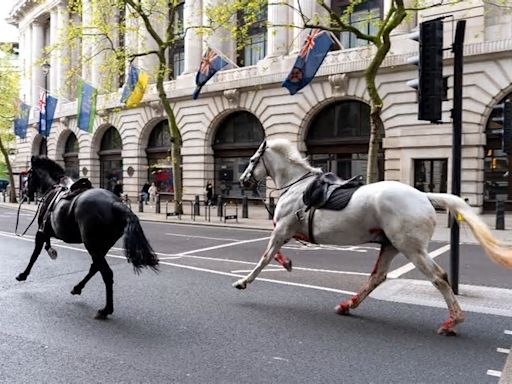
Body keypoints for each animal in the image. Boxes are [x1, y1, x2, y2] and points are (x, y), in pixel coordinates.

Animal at [17, 154, 158, 320]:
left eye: (29, 174)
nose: (25, 192)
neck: (53, 187)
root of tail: (115, 203)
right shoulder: (46, 234)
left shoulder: (41, 233)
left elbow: (34, 255)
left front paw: (23, 275)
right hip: (101, 246)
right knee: (95, 267)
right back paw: (78, 288)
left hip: (92, 245)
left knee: (106, 273)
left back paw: (105, 310)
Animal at [235, 139, 512, 336]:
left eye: (252, 159)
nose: (242, 180)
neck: (297, 186)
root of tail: (424, 196)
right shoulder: (286, 230)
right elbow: (274, 254)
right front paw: (287, 263)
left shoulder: (282, 229)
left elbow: (265, 257)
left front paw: (244, 281)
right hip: (391, 245)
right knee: (377, 277)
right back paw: (348, 305)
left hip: (411, 248)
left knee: (439, 277)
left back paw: (452, 322)